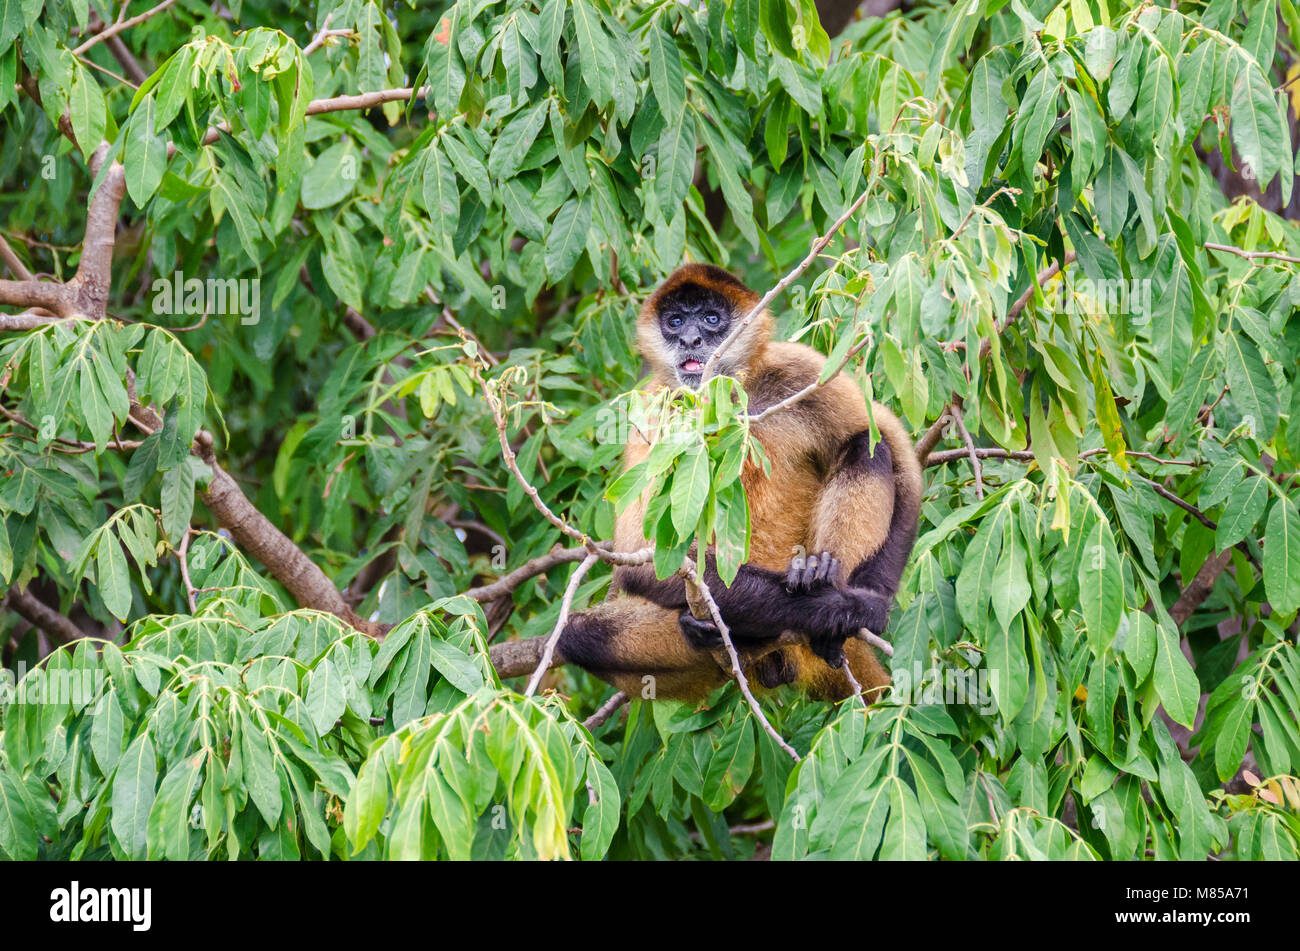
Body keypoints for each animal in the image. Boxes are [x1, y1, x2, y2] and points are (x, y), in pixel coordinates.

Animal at [559, 263, 925, 701]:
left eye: (711, 319)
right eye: (675, 321)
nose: (691, 339)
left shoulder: (796, 366)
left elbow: (893, 447)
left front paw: (867, 601)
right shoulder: (654, 407)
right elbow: (641, 557)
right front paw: (841, 610)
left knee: (869, 448)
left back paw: (820, 581)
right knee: (576, 636)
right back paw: (724, 634)